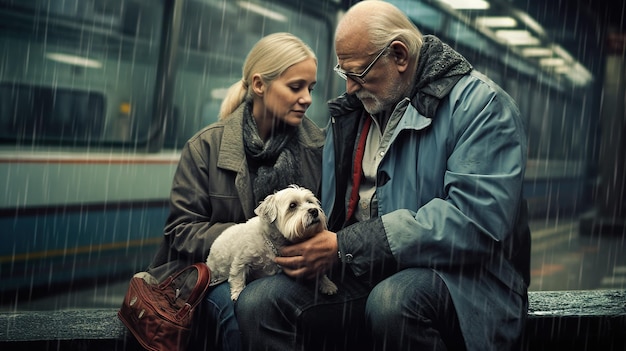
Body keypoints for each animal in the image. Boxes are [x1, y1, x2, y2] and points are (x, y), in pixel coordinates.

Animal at [205, 186, 336, 302]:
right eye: (292, 205)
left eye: (310, 202)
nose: (314, 211)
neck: (273, 242)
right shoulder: (241, 259)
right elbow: (237, 275)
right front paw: (238, 293)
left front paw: (327, 284)